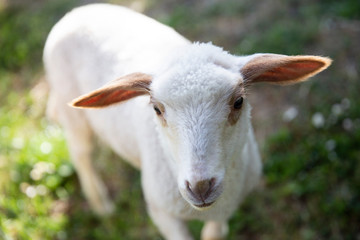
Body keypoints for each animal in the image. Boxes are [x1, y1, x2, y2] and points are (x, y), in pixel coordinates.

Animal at [44, 3, 332, 240]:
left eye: (238, 101)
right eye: (157, 109)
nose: (200, 187)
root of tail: (76, 12)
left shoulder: (226, 208)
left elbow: (213, 234)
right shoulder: (161, 211)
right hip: (72, 110)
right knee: (81, 154)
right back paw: (101, 204)